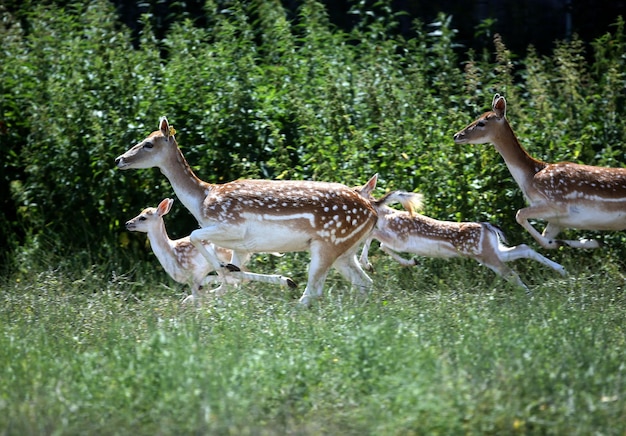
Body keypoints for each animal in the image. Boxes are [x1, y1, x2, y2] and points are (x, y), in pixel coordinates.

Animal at [114, 117, 372, 304]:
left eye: (148, 143)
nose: (119, 159)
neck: (202, 201)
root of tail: (372, 211)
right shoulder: (239, 245)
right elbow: (231, 275)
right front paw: (226, 273)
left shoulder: (231, 224)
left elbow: (196, 236)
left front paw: (220, 270)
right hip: (344, 250)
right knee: (364, 282)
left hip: (328, 243)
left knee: (314, 291)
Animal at [356, 174, 564, 292]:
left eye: (356, 190)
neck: (386, 217)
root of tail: (488, 227)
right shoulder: (395, 240)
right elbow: (380, 244)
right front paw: (411, 262)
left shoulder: (400, 238)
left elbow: (375, 239)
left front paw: (367, 264)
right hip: (492, 250)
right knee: (523, 248)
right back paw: (561, 270)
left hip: (486, 254)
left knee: (510, 272)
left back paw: (530, 295)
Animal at [450, 93, 624, 250]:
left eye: (481, 122)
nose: (456, 135)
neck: (530, 177)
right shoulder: (557, 219)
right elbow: (545, 236)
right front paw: (590, 242)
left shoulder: (558, 203)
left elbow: (519, 214)